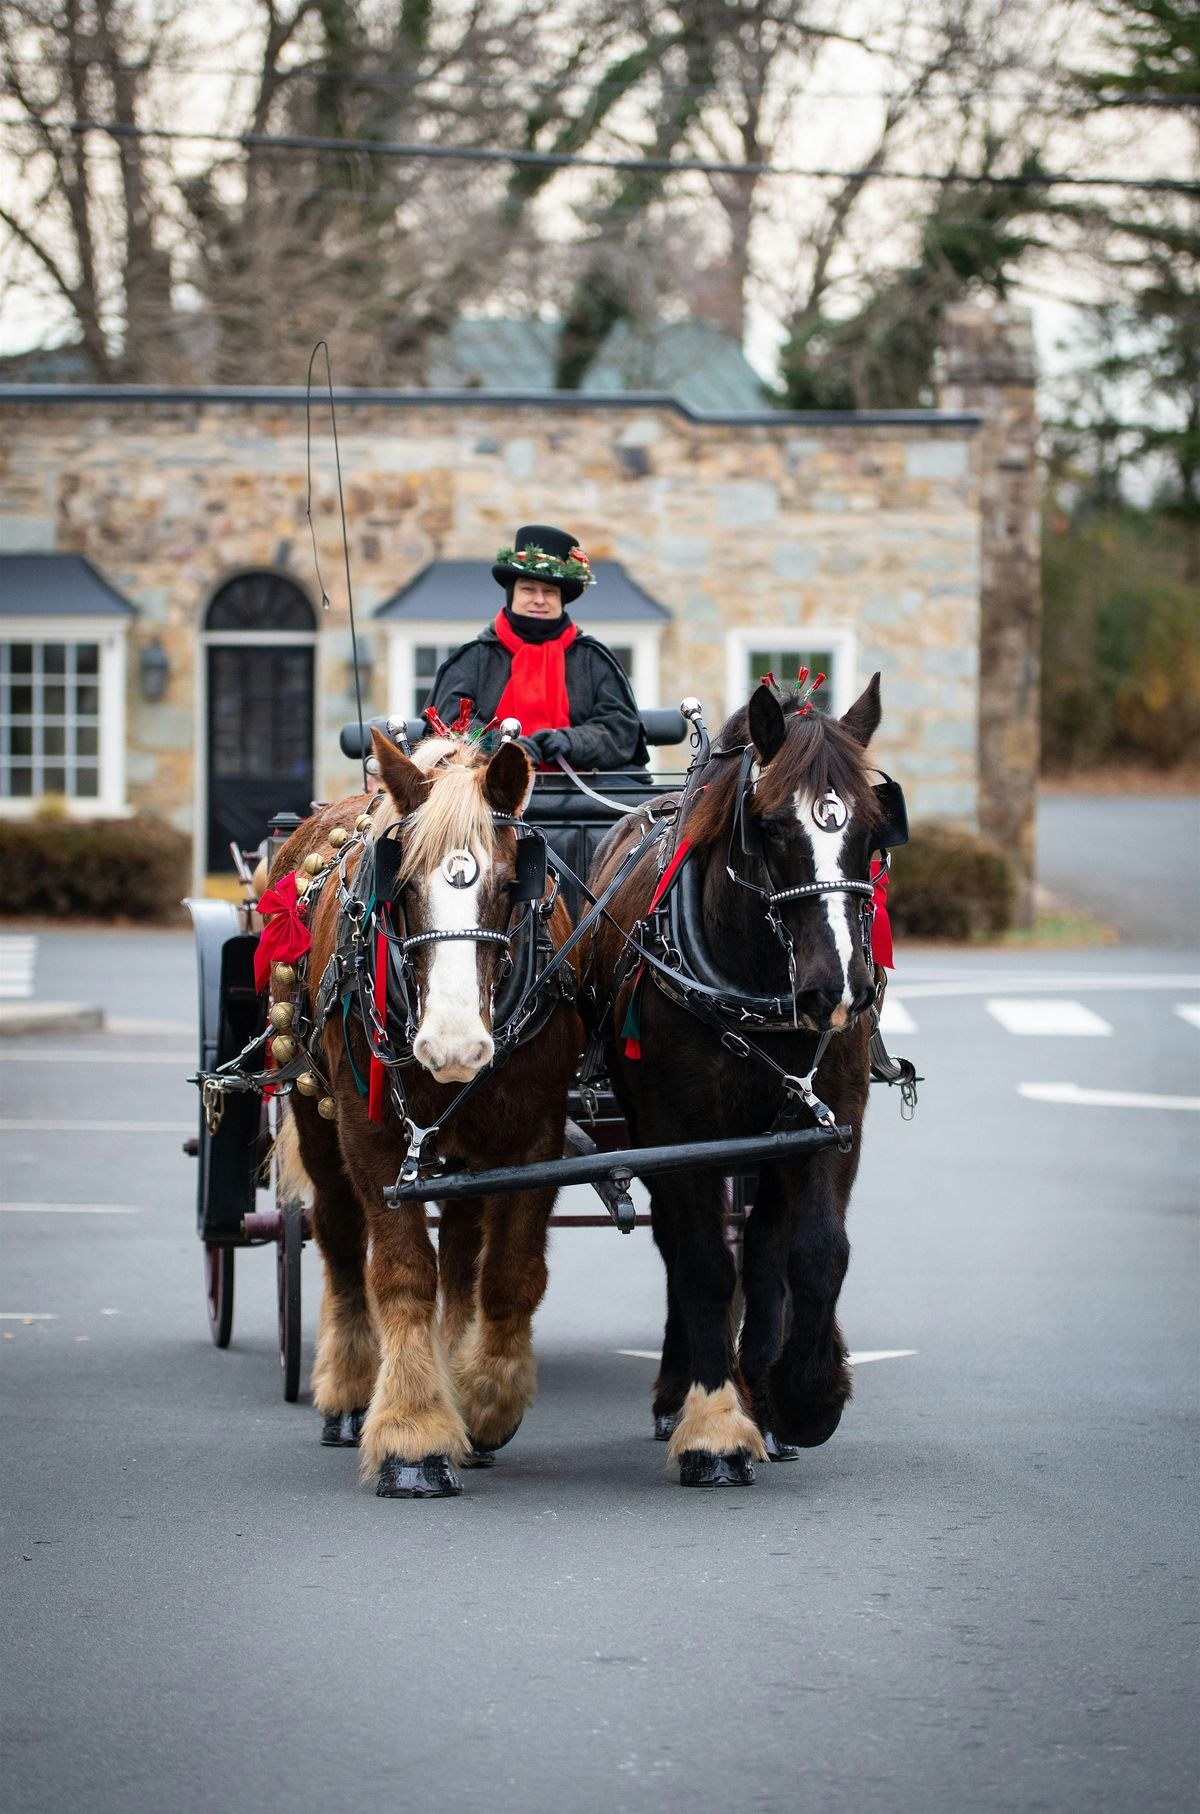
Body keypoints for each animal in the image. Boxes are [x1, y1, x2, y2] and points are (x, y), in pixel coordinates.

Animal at [266, 729, 583, 1494]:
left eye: (512, 883)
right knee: (339, 1237)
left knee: (464, 1253)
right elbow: (403, 1274)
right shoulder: (373, 1136)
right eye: (402, 886)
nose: (453, 1045)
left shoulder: (535, 1136)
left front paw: (486, 1398)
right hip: (315, 1112)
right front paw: (413, 1433)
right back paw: (349, 1391)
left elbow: (510, 1274)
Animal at [587, 678, 906, 1487]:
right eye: (770, 829)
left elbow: (813, 1251)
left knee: (760, 1247)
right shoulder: (677, 1129)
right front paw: (713, 1431)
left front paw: (800, 1397)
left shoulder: (828, 1114)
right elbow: (702, 1264)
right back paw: (680, 1391)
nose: (839, 989)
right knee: (683, 1245)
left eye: (873, 830)